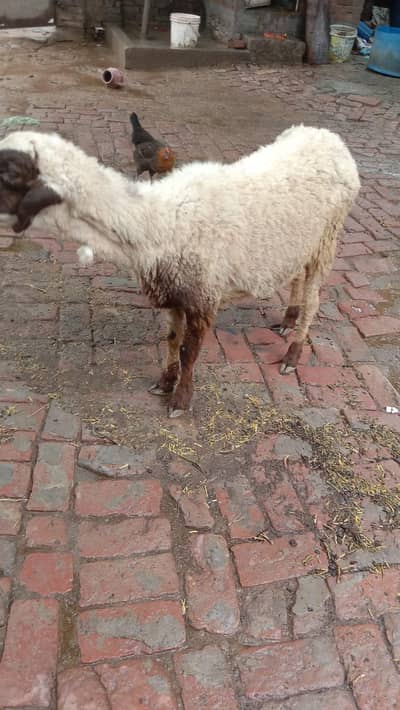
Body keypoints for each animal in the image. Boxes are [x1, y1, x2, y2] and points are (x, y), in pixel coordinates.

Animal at [0, 126, 360, 417]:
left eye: (10, 172)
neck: (157, 219)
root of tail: (330, 138)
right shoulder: (174, 291)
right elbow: (172, 341)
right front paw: (165, 382)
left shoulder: (203, 297)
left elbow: (188, 353)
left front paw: (180, 401)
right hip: (301, 242)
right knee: (297, 276)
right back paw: (287, 319)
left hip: (328, 237)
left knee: (314, 300)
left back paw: (292, 355)